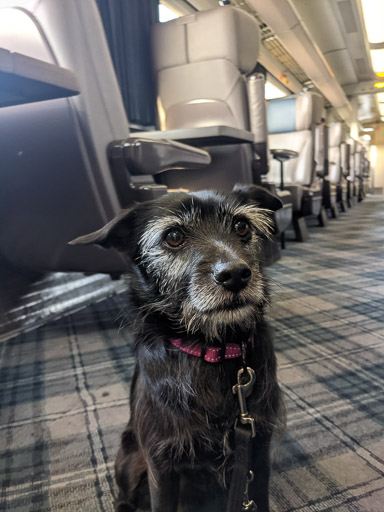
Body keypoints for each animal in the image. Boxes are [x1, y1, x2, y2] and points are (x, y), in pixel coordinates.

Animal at [70, 186, 284, 512]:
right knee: (124, 495)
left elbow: (259, 496)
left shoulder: (258, 448)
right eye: (173, 236)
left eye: (242, 226)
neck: (211, 350)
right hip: (129, 459)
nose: (235, 274)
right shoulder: (161, 464)